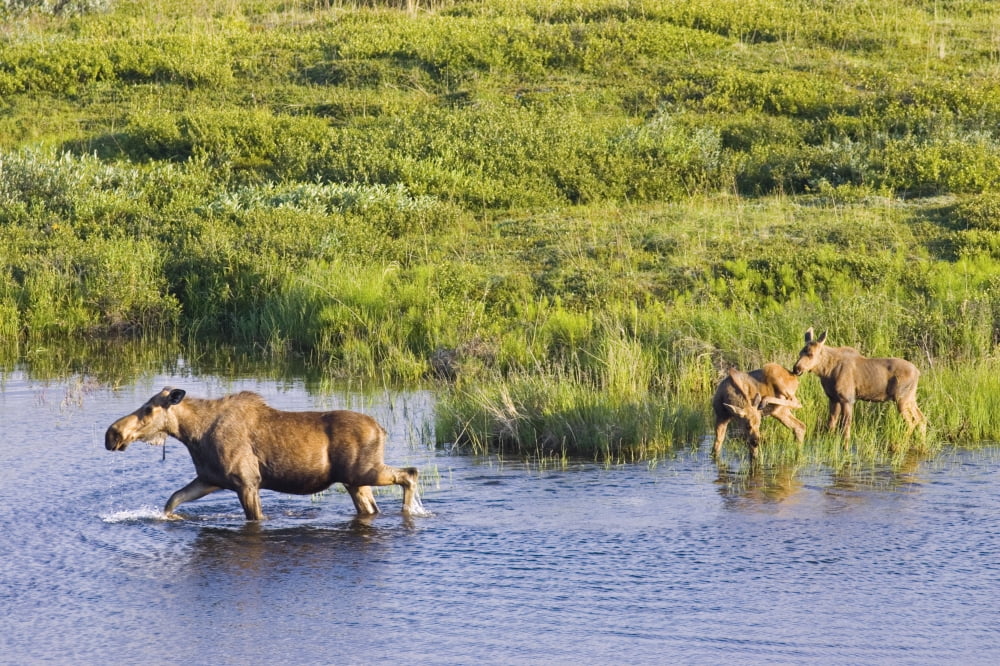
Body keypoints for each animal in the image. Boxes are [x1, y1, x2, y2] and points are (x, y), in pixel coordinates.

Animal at [105, 388, 420, 521]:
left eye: (149, 409)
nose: (113, 434)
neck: (193, 435)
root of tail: (381, 429)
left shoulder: (247, 482)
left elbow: (256, 519)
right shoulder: (211, 479)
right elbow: (172, 500)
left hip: (364, 470)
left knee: (410, 473)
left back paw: (411, 511)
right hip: (355, 481)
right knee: (373, 507)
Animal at [792, 328, 927, 445]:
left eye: (811, 354)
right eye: (800, 353)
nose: (796, 368)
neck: (826, 372)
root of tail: (918, 372)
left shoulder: (848, 399)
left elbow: (845, 428)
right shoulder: (833, 398)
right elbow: (831, 424)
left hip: (901, 399)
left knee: (911, 422)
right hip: (910, 398)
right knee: (921, 419)